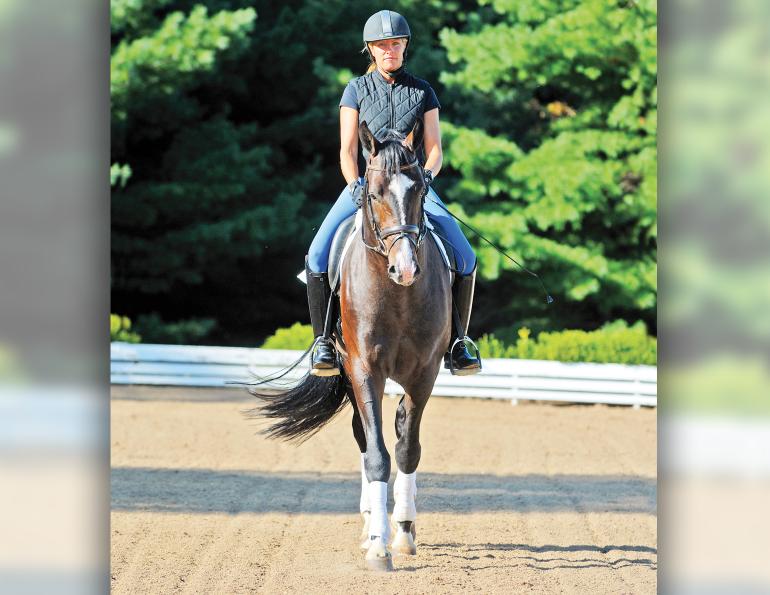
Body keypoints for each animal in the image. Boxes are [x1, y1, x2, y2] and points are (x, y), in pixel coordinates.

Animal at [249, 120, 452, 571]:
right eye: (373, 193)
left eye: (420, 190)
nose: (405, 268)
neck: (397, 295)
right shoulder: (363, 369)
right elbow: (376, 453)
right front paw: (378, 546)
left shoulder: (424, 374)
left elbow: (407, 449)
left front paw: (404, 533)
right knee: (363, 436)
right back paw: (370, 522)